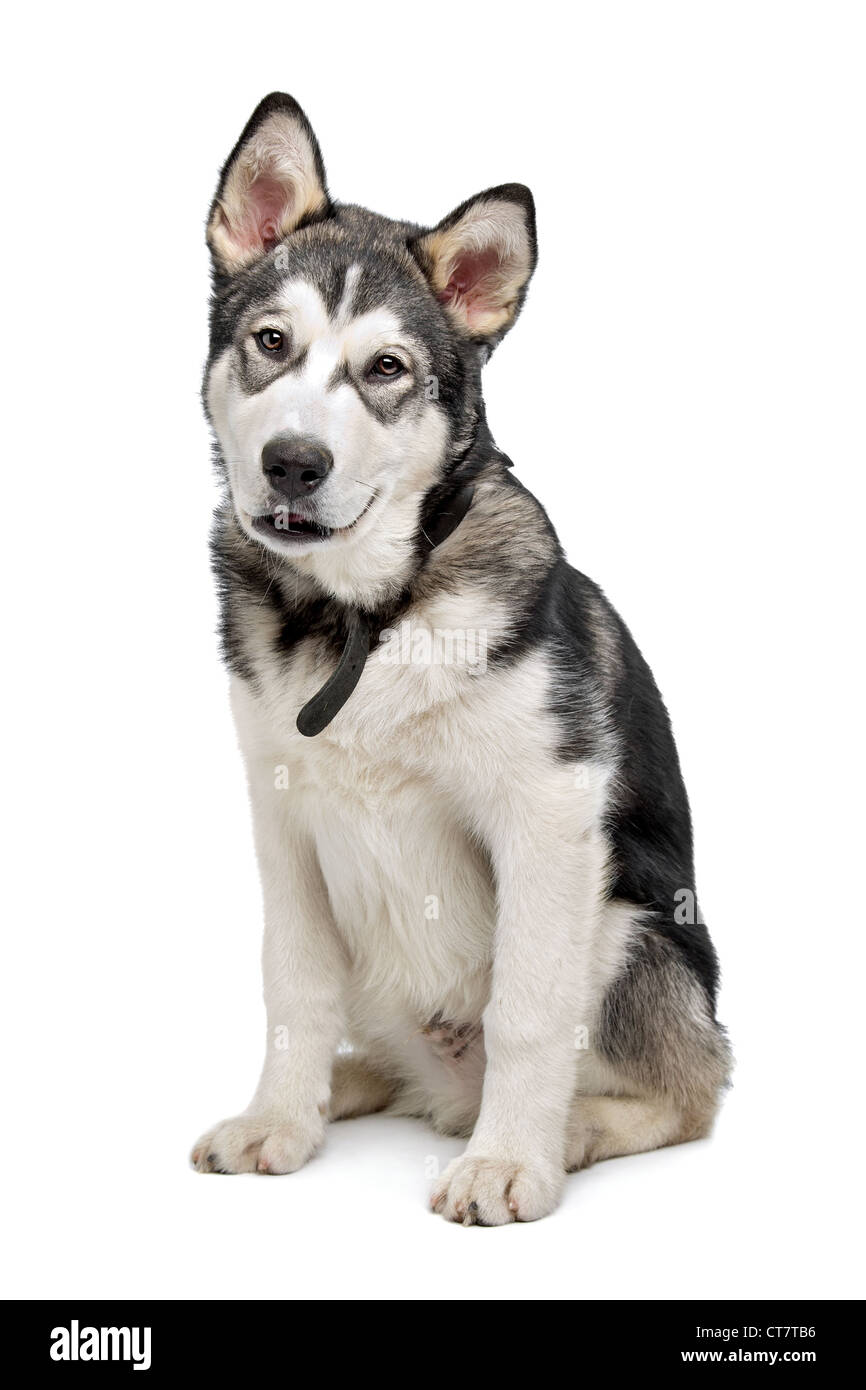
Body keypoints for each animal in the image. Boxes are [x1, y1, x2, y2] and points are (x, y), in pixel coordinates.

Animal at [191, 92, 733, 1223]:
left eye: (385, 369)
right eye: (270, 341)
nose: (292, 463)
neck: (365, 615)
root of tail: (448, 1092)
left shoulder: (548, 809)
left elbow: (528, 1011)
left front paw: (511, 1163)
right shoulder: (282, 819)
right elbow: (292, 984)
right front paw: (278, 1118)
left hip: (630, 928)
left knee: (691, 1089)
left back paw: (564, 1128)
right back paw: (350, 1085)